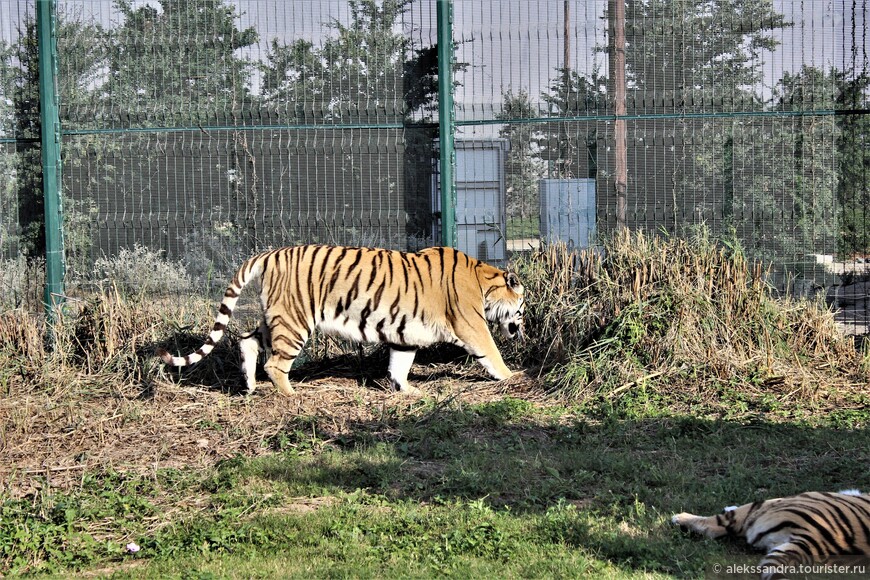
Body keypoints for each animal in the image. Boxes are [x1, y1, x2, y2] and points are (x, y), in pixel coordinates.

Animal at [157, 242, 524, 396]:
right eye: (522, 308)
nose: (521, 330)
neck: (483, 280)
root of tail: (269, 254)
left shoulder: (405, 333)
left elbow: (400, 363)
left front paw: (408, 390)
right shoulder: (470, 323)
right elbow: (491, 352)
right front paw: (512, 376)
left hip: (274, 317)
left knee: (247, 343)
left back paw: (249, 387)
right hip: (294, 321)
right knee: (275, 363)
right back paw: (291, 395)